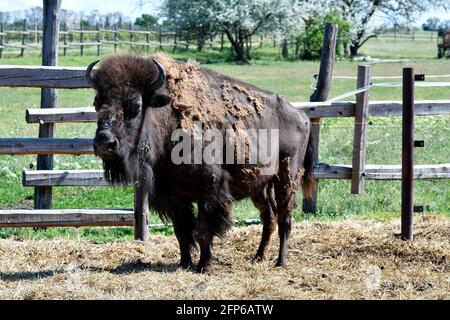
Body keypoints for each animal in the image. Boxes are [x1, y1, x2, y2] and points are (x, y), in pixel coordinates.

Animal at [87, 53, 312, 272]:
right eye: (97, 103)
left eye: (136, 105)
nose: (104, 142)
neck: (167, 120)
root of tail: (302, 115)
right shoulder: (175, 197)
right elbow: (182, 233)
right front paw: (185, 264)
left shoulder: (210, 191)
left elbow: (203, 231)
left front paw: (204, 266)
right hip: (260, 185)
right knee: (269, 217)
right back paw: (258, 257)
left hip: (287, 176)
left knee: (284, 217)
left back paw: (280, 262)